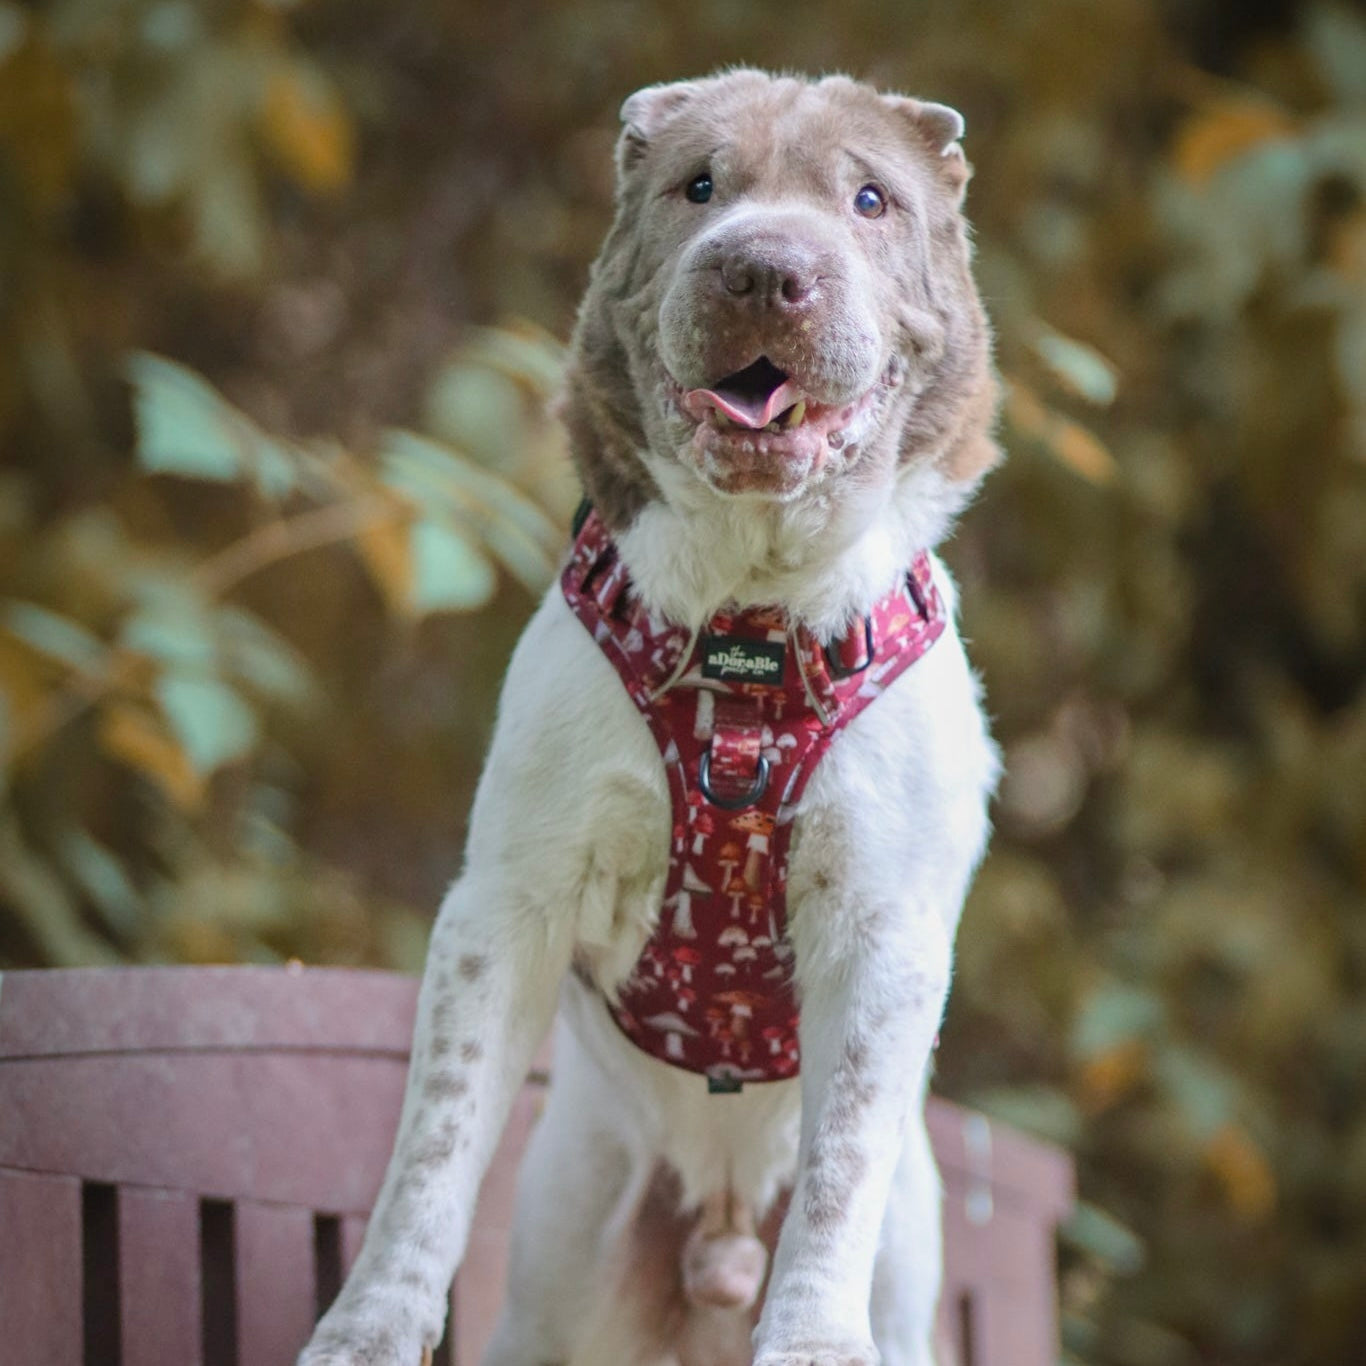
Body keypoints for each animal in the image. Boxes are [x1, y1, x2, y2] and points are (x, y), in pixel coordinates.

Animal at [299, 72, 999, 1366]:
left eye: (870, 199)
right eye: (698, 187)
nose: (763, 271)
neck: (749, 625)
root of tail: (714, 1238)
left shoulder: (883, 932)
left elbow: (840, 1165)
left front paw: (811, 1340)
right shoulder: (504, 904)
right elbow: (433, 1148)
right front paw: (366, 1331)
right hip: (566, 1251)